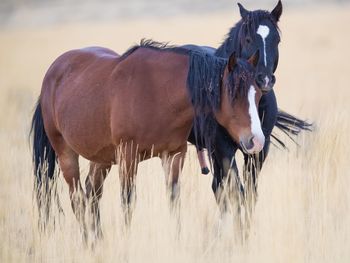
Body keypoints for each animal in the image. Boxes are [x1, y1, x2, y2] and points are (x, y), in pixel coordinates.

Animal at [31, 39, 264, 239]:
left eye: (259, 94)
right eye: (234, 95)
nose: (256, 141)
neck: (158, 93)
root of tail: (52, 74)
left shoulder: (173, 154)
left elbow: (173, 199)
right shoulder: (128, 155)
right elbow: (128, 200)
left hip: (102, 158)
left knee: (92, 194)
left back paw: (98, 239)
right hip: (65, 152)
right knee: (78, 198)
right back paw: (88, 242)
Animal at [185, 1, 310, 218]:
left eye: (276, 40)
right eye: (249, 39)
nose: (265, 80)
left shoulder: (259, 150)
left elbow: (250, 194)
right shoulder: (224, 149)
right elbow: (238, 192)